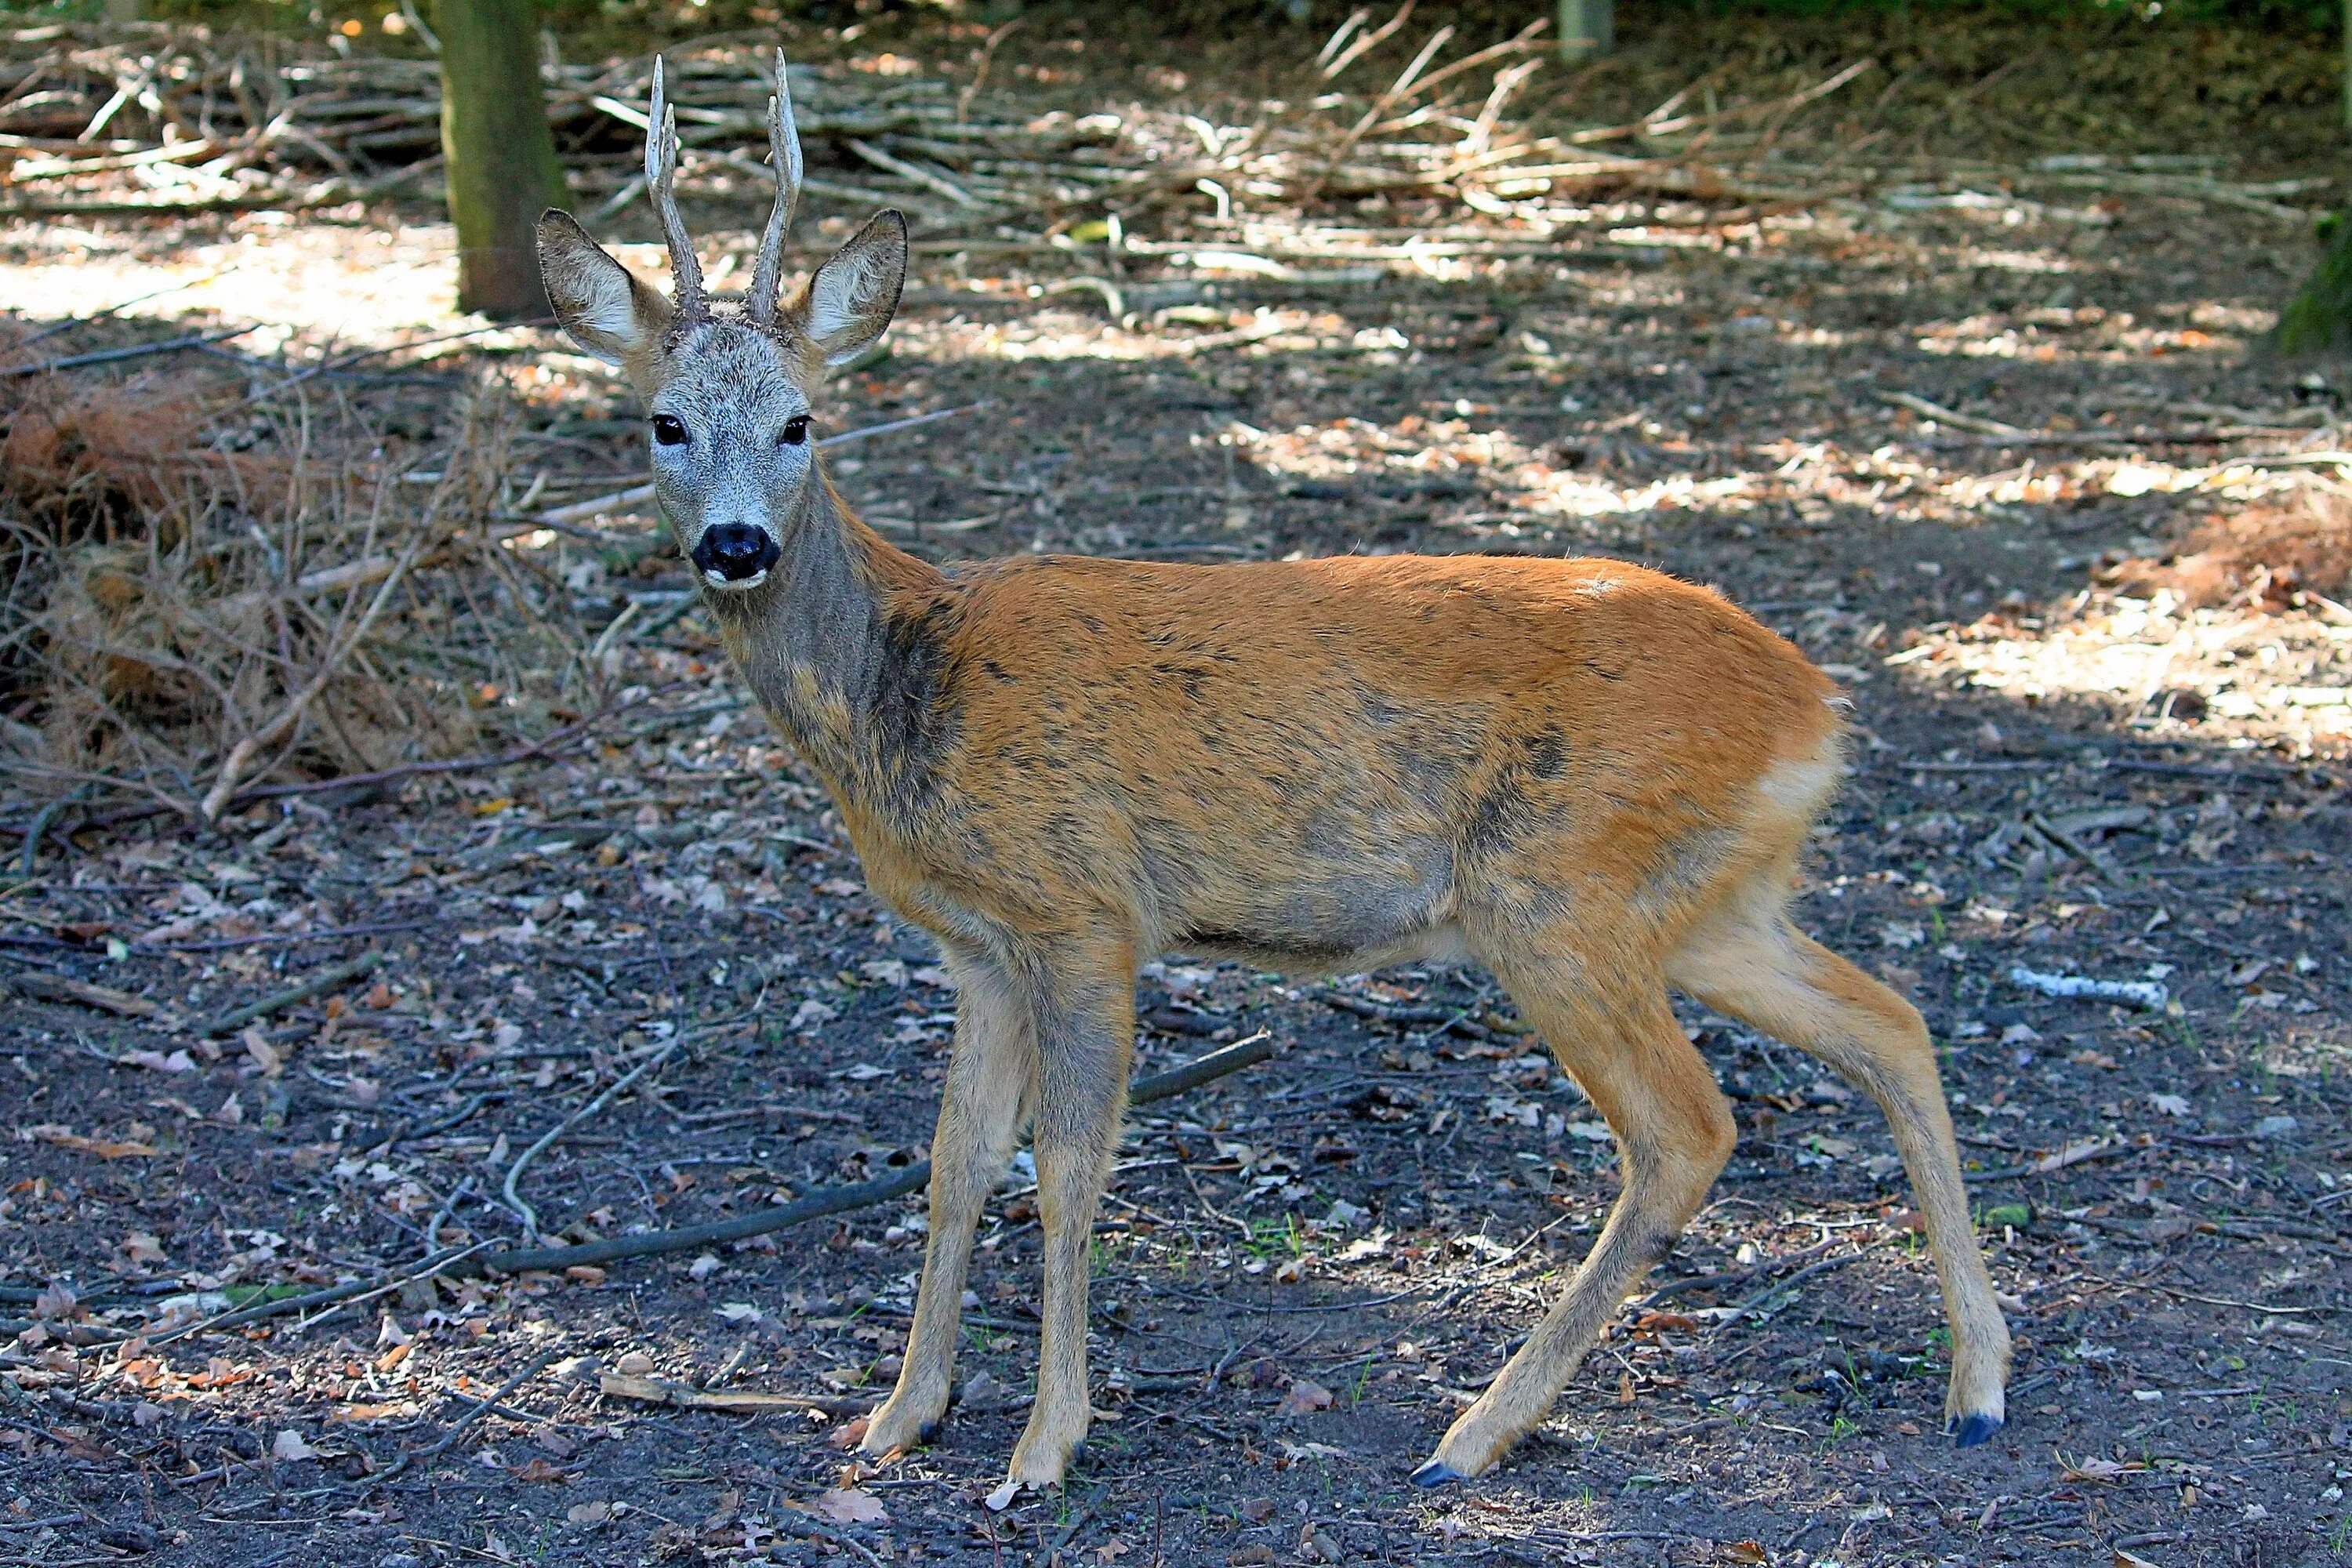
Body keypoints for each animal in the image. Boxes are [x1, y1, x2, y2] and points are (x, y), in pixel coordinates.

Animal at [534, 52, 2004, 1495]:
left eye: (800, 423)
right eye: (663, 423)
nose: (734, 545)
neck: (908, 685)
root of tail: (1816, 708)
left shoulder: (1083, 910)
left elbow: (1068, 1168)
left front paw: (1043, 1446)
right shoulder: (974, 946)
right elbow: (953, 1165)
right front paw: (900, 1417)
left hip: (1557, 885)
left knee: (1690, 1128)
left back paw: (1473, 1435)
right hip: (1704, 899)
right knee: (1892, 1022)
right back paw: (1977, 1387)